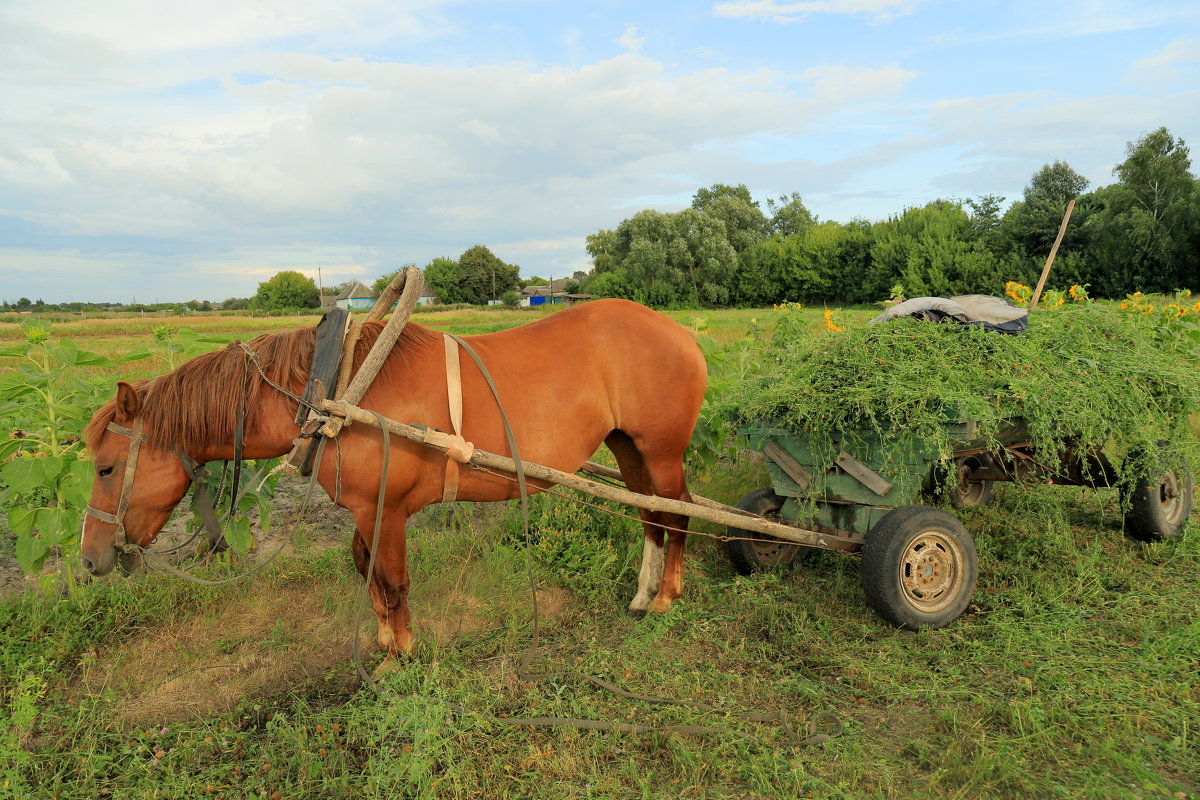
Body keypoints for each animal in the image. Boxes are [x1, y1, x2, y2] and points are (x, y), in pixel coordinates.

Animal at [79, 298, 705, 657]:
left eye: (106, 467)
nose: (88, 559)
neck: (331, 392)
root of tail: (679, 332)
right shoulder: (365, 508)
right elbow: (365, 570)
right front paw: (383, 638)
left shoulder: (388, 507)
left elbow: (393, 581)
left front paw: (400, 653)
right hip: (628, 449)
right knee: (651, 513)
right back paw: (643, 594)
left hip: (661, 452)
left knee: (678, 513)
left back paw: (667, 596)